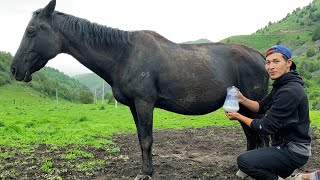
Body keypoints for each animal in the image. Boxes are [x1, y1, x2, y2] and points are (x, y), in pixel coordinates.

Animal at [10, 0, 270, 179]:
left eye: (31, 31)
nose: (14, 69)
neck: (123, 55)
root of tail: (261, 56)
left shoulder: (144, 103)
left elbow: (146, 139)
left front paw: (146, 173)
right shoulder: (133, 106)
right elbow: (140, 138)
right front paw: (147, 169)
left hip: (253, 106)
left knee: (261, 134)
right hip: (242, 107)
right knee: (251, 134)